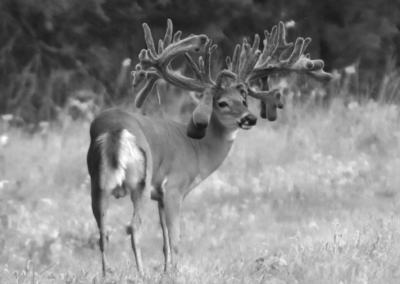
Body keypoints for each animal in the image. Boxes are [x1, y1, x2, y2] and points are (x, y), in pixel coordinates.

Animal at [86, 19, 332, 276]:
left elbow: (165, 242)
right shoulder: (174, 186)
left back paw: (106, 274)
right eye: (222, 103)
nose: (250, 118)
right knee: (132, 226)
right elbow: (175, 238)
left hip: (98, 183)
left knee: (103, 231)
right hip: (140, 183)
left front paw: (166, 271)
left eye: (243, 99)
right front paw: (174, 272)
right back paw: (140, 274)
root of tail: (115, 129)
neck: (197, 149)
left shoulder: (160, 196)